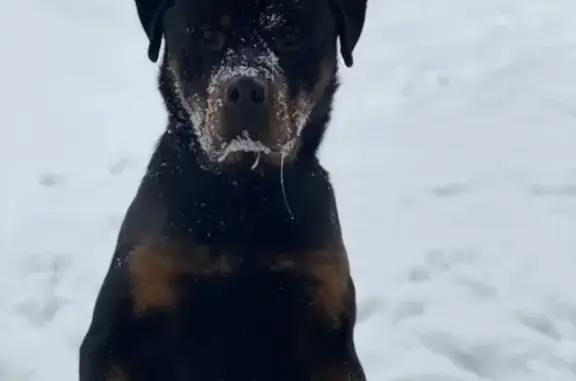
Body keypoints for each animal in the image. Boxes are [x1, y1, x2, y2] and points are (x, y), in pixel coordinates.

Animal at [79, 0, 366, 378]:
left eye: (290, 35)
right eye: (208, 34)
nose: (246, 88)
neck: (240, 197)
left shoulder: (328, 332)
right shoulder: (118, 330)